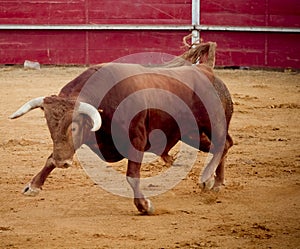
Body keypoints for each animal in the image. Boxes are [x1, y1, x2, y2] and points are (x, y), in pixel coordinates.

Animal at [9, 62, 233, 214]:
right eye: (49, 126)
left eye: (74, 127)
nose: (62, 162)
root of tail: (207, 71)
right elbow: (48, 159)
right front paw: (33, 186)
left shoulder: (137, 140)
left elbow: (132, 176)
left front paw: (144, 206)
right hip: (191, 134)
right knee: (220, 146)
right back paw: (217, 183)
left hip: (213, 123)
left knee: (223, 143)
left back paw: (207, 179)